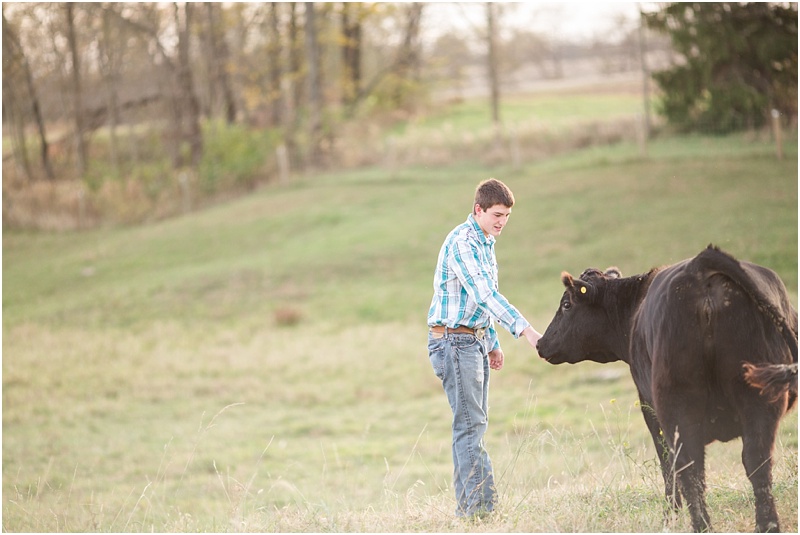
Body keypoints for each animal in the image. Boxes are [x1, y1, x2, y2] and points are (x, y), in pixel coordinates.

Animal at [536, 246, 796, 532]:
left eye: (567, 304)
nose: (540, 343)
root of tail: (699, 266)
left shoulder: (649, 407)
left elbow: (666, 463)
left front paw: (670, 514)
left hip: (678, 407)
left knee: (689, 467)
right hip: (759, 401)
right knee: (756, 462)